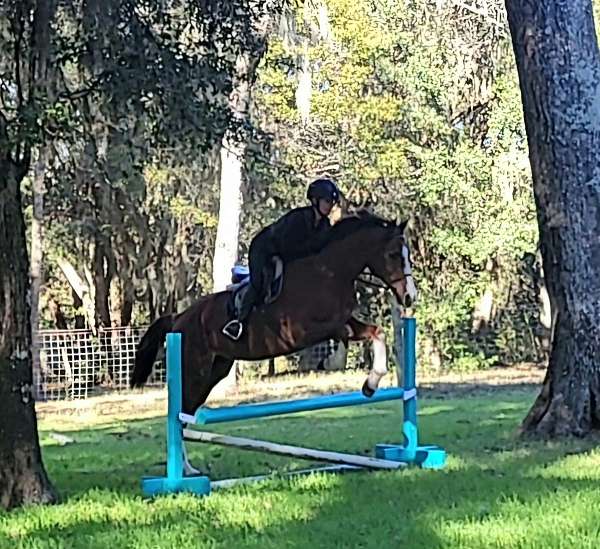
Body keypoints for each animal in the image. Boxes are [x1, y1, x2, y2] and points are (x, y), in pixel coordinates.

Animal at [131, 211, 418, 416]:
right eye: (394, 254)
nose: (409, 296)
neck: (330, 272)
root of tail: (178, 318)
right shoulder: (308, 330)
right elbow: (342, 337)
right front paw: (333, 363)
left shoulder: (345, 319)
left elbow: (376, 332)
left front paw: (370, 385)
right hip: (194, 367)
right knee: (183, 410)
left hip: (217, 367)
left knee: (188, 411)